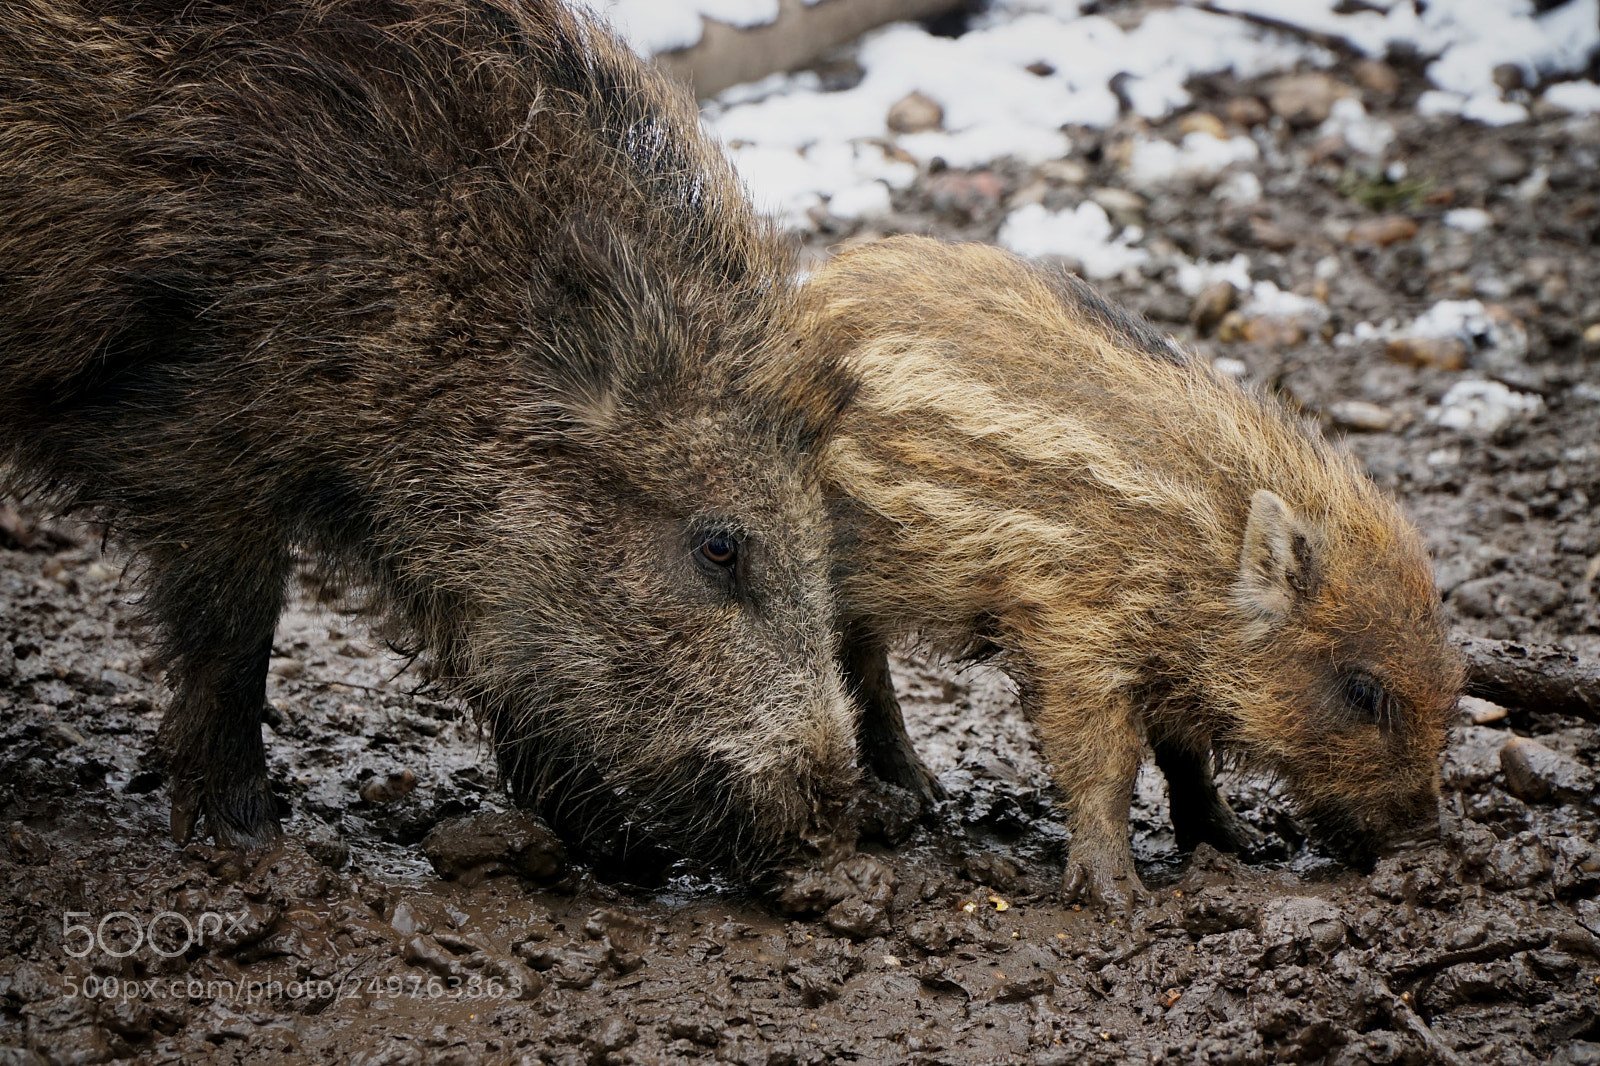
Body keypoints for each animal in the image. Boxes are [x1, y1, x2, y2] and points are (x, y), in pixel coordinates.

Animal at [805, 236, 1462, 908]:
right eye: (1361, 692)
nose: (1423, 844)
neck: (1200, 551)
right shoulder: (1072, 633)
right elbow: (1107, 762)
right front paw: (1117, 895)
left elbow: (1187, 757)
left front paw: (1241, 843)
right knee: (861, 665)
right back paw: (923, 794)